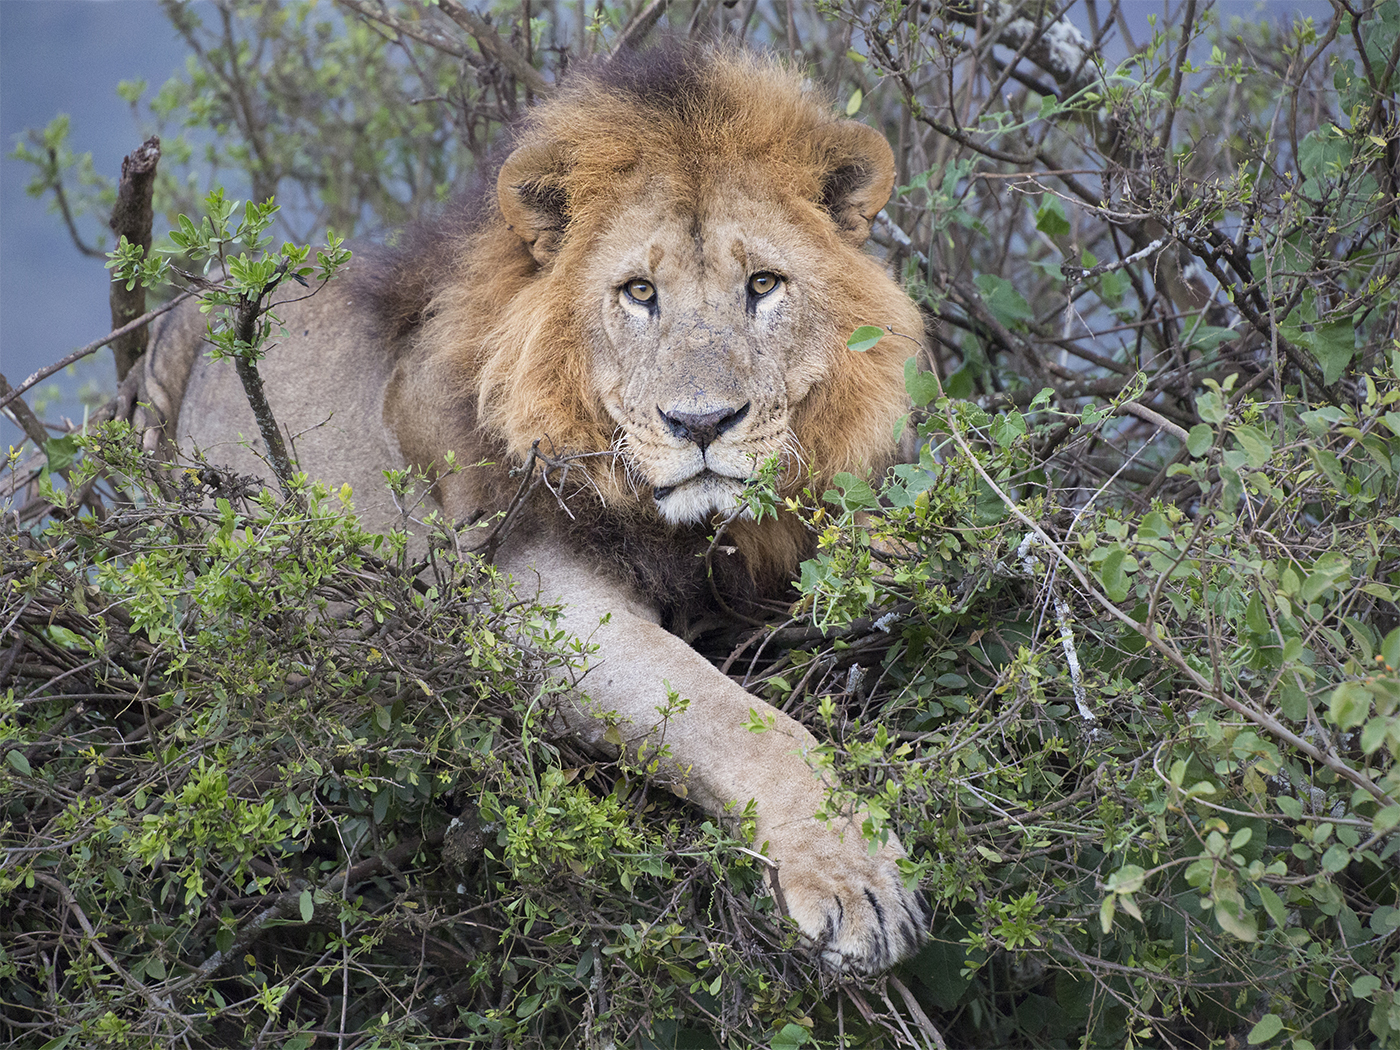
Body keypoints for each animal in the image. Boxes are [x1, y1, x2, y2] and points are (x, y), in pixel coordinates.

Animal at [133, 45, 928, 972]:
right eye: (639, 293)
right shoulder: (534, 601)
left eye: (763, 284)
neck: (709, 531)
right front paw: (851, 873)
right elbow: (734, 719)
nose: (701, 423)